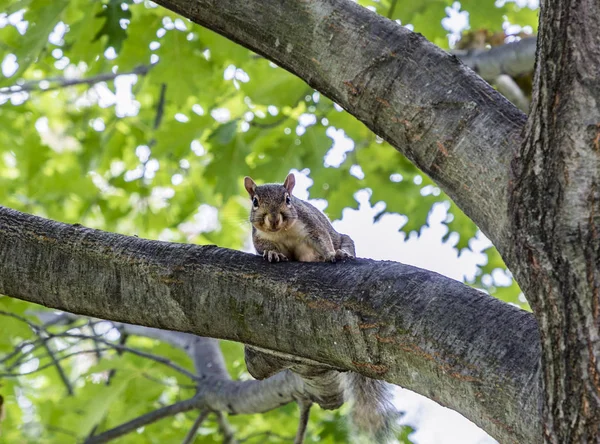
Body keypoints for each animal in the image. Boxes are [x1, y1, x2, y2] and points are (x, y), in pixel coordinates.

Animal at [241, 173, 396, 444]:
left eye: (288, 199)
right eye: (255, 202)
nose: (273, 219)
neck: (283, 232)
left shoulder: (313, 228)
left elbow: (322, 242)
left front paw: (331, 255)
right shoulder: (259, 238)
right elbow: (266, 249)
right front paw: (273, 254)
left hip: (344, 238)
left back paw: (342, 252)